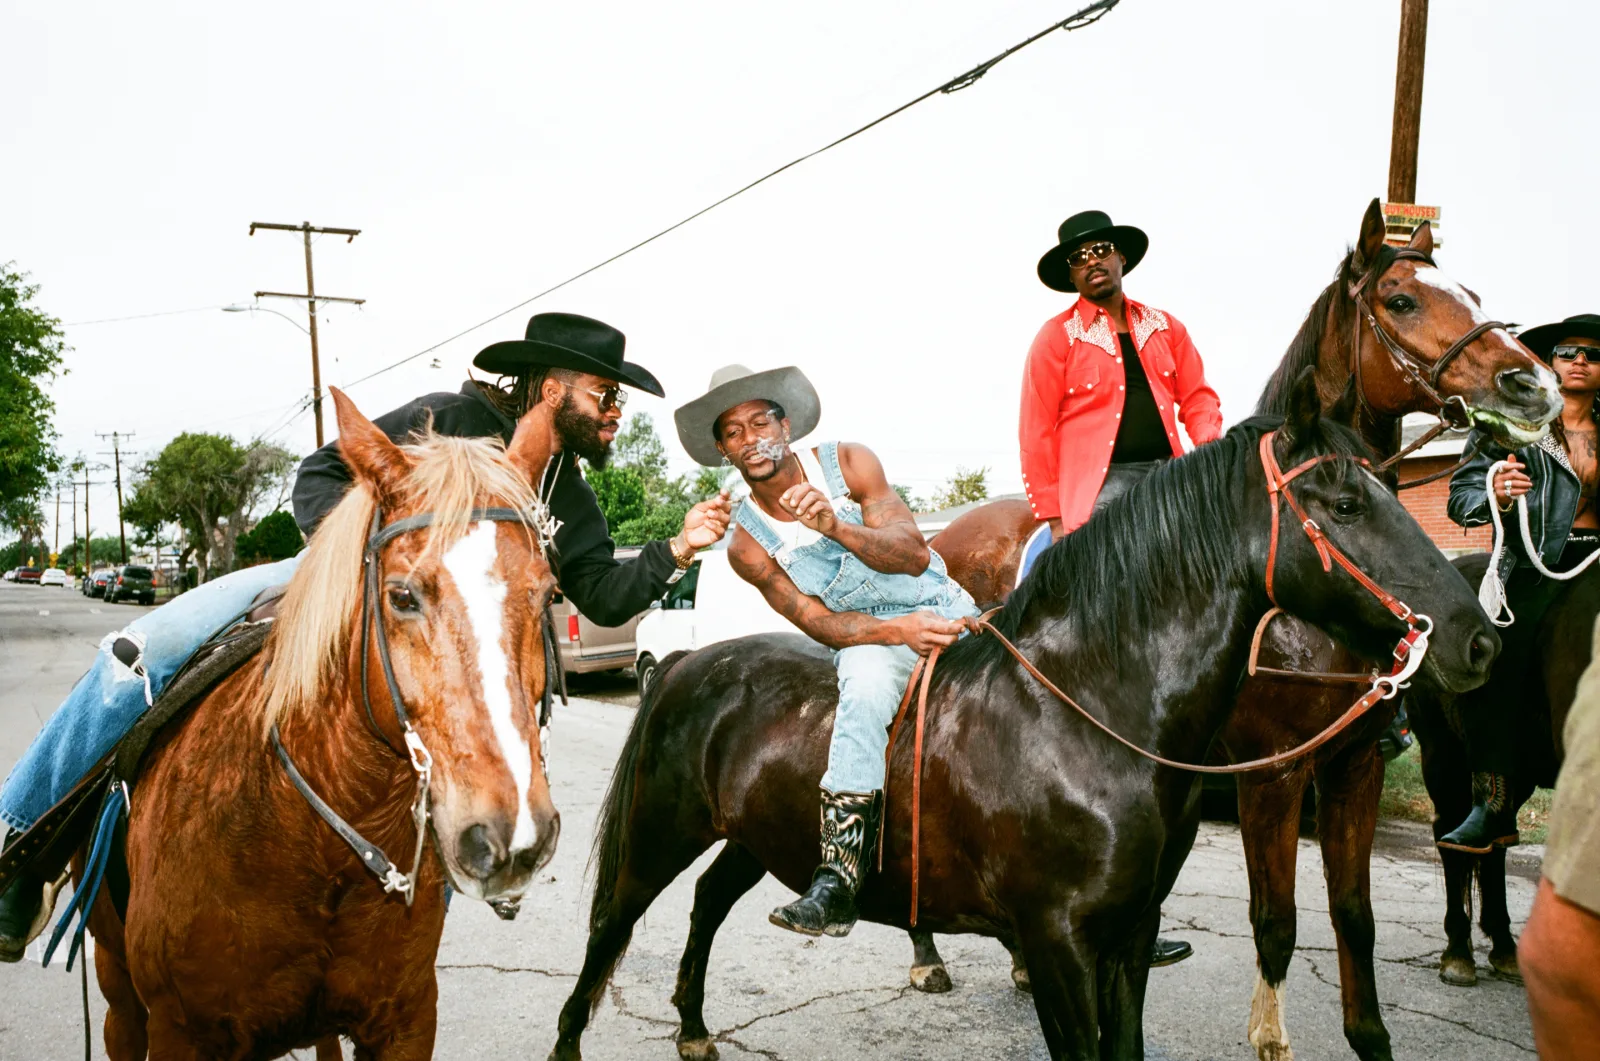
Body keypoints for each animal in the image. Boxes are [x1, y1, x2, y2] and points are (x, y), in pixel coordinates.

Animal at [86, 390, 569, 1061]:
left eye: (548, 594)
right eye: (401, 596)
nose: (510, 832)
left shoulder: (405, 1021)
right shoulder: (178, 1029)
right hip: (117, 992)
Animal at [553, 377, 1497, 1056]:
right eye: (1345, 505)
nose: (1478, 638)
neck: (1084, 713)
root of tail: (686, 661)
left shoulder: (1129, 937)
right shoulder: (1056, 946)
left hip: (749, 837)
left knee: (708, 903)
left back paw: (693, 1027)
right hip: (658, 834)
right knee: (607, 930)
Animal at [921, 199, 1555, 1061]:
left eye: (1474, 291)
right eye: (1400, 300)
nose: (1532, 384)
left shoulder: (1352, 765)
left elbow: (1353, 917)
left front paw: (1371, 1037)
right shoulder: (1272, 773)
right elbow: (1276, 922)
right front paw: (1269, 1036)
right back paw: (927, 956)